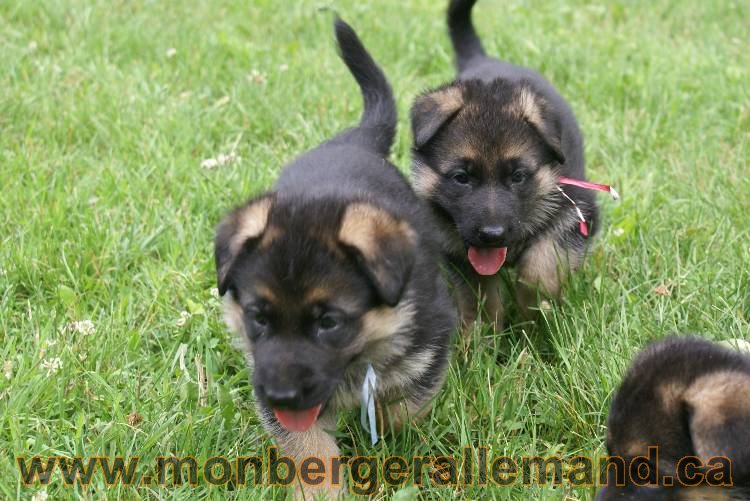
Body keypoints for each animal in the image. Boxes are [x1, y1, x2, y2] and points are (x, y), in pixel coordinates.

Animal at [214, 17, 456, 498]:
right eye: (258, 318)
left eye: (329, 322)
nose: (281, 397)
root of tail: (356, 141)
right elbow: (308, 447)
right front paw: (320, 489)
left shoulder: (431, 345)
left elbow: (404, 407)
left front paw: (385, 437)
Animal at [408, 0, 604, 326]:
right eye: (461, 177)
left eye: (518, 176)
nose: (492, 235)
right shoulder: (459, 249)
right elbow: (480, 297)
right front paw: (483, 333)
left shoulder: (576, 211)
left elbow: (541, 265)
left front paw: (535, 309)